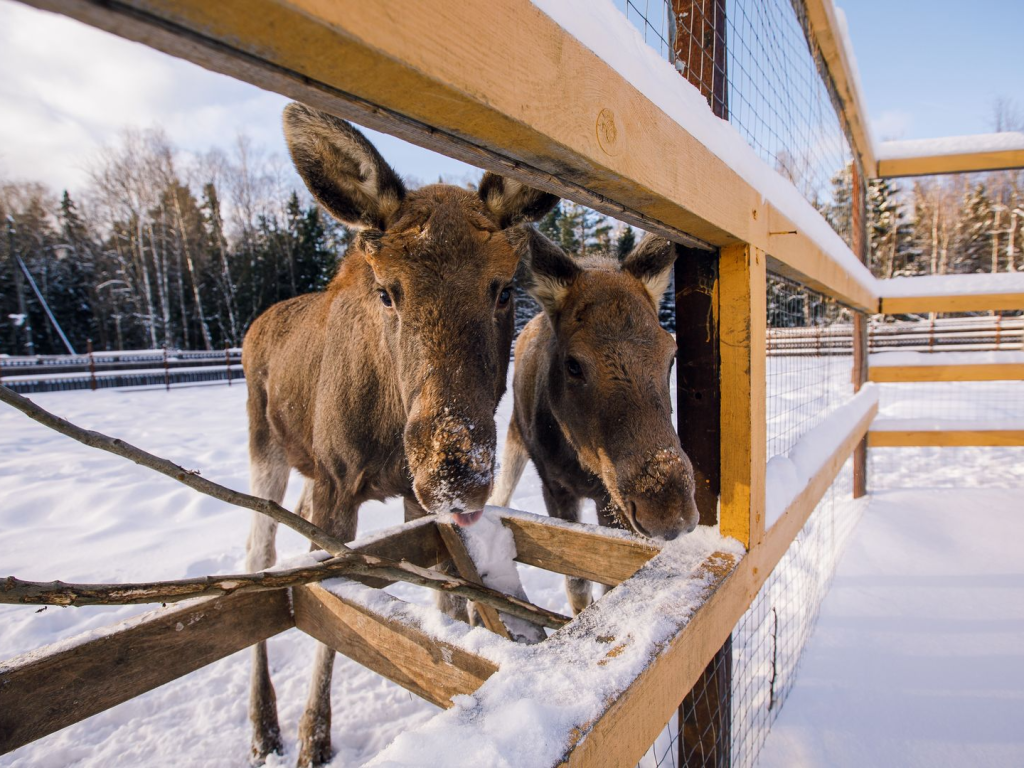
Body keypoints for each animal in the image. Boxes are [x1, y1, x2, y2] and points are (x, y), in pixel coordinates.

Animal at [242, 103, 557, 768]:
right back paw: (263, 725)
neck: (387, 429)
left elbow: (448, 601)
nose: (453, 471)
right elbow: (333, 610)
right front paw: (314, 738)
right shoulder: (338, 485)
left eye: (503, 288)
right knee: (259, 555)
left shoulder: (407, 499)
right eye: (386, 291)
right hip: (266, 448)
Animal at [485, 231, 696, 618]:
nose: (668, 512)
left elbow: (609, 578)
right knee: (500, 494)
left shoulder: (610, 498)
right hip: (514, 439)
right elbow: (577, 581)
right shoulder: (555, 487)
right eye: (573, 364)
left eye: (671, 354)